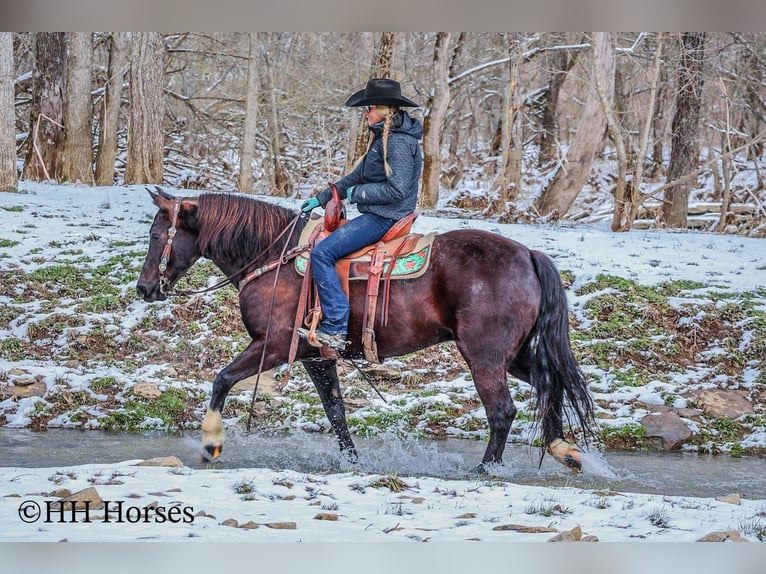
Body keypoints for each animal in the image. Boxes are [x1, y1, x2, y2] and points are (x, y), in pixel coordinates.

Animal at [136, 189, 592, 472]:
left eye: (157, 234)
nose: (144, 289)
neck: (272, 256)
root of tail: (528, 254)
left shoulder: (273, 344)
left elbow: (222, 379)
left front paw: (211, 443)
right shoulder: (317, 357)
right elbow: (336, 411)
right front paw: (351, 462)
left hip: (484, 355)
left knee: (502, 410)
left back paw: (486, 469)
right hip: (512, 355)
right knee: (551, 382)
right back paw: (563, 449)